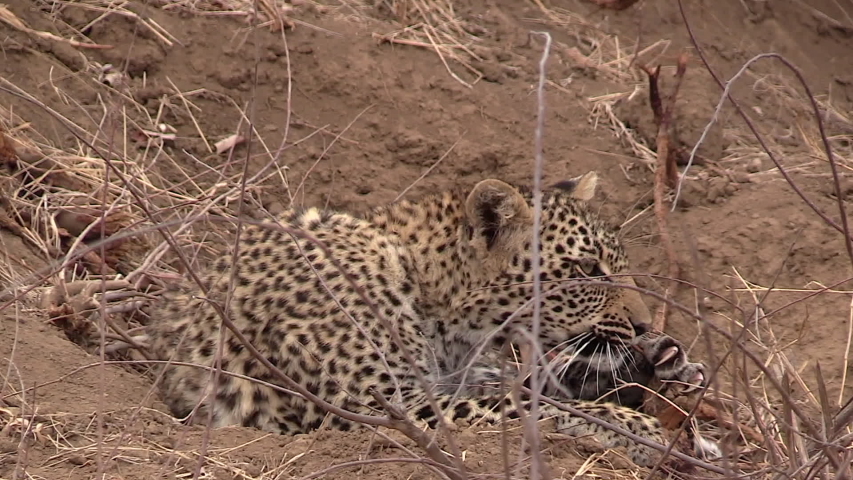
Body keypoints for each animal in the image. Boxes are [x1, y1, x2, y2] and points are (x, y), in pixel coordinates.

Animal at [148, 171, 712, 466]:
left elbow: (538, 392)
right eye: (585, 271)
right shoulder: (386, 408)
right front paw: (648, 434)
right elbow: (546, 410)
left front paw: (668, 383)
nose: (642, 326)